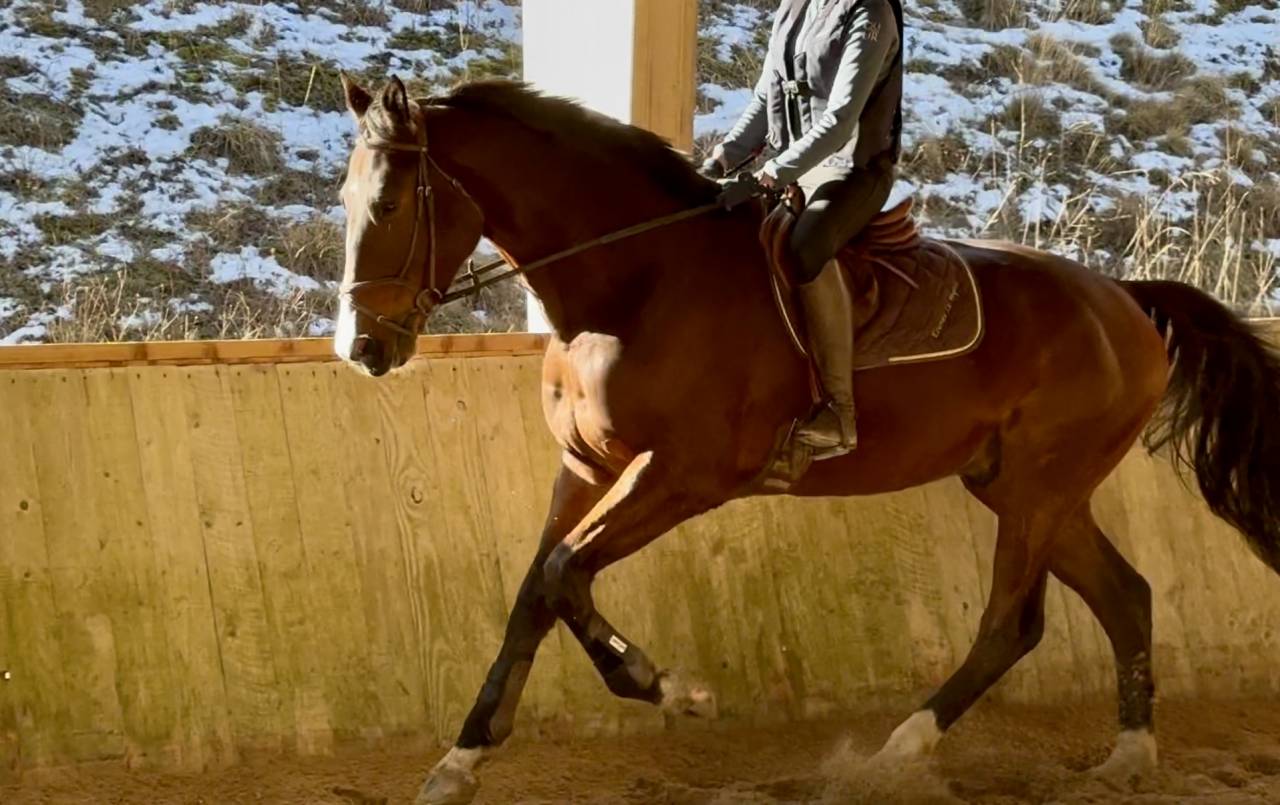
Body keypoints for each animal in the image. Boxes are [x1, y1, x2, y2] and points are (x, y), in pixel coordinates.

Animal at [332, 76, 1280, 805]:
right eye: (345, 201)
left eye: (390, 202)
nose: (364, 349)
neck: (636, 282)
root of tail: (1126, 299)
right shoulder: (587, 466)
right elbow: (538, 588)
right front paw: (462, 758)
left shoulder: (684, 475)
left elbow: (565, 572)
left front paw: (671, 689)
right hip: (1025, 486)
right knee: (1126, 596)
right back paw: (1127, 754)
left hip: (1040, 488)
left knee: (1014, 622)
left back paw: (900, 750)